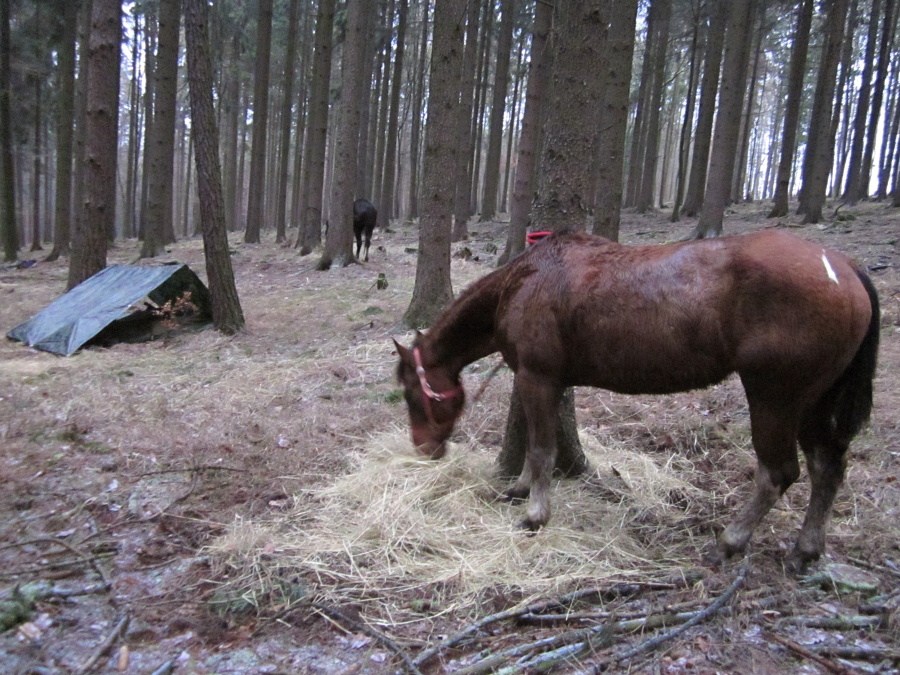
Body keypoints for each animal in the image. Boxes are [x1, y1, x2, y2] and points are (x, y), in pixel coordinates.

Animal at [394, 230, 880, 572]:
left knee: (777, 473)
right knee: (827, 466)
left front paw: (535, 515)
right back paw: (805, 549)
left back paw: (729, 542)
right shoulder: (545, 383)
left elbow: (542, 448)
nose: (424, 448)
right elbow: (536, 446)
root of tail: (843, 267)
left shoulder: (539, 378)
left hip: (774, 398)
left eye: (411, 391)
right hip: (813, 403)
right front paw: (519, 489)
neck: (526, 281)